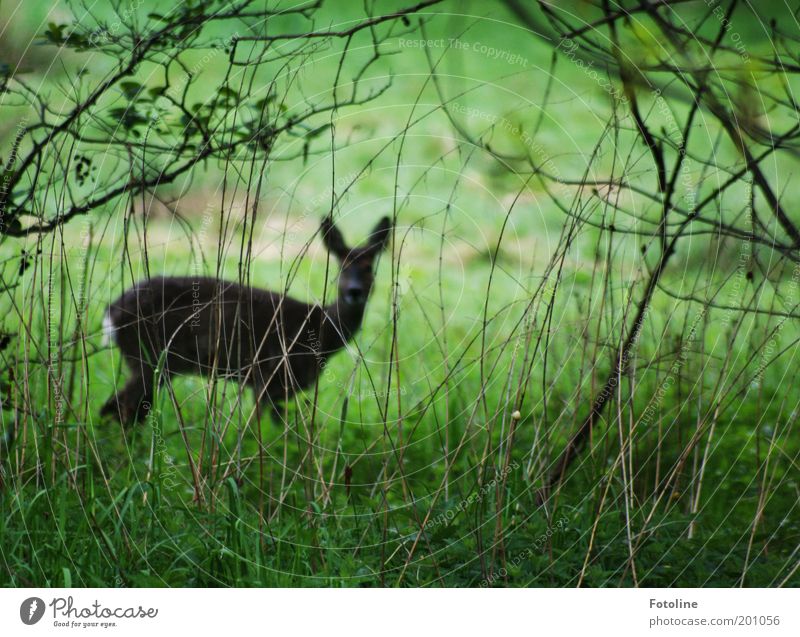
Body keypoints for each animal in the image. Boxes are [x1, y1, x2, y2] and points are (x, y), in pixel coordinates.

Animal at [100, 216, 394, 424]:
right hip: (148, 358)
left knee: (121, 409)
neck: (318, 331)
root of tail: (111, 313)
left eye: (369, 267)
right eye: (341, 266)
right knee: (120, 408)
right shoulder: (270, 377)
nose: (354, 291)